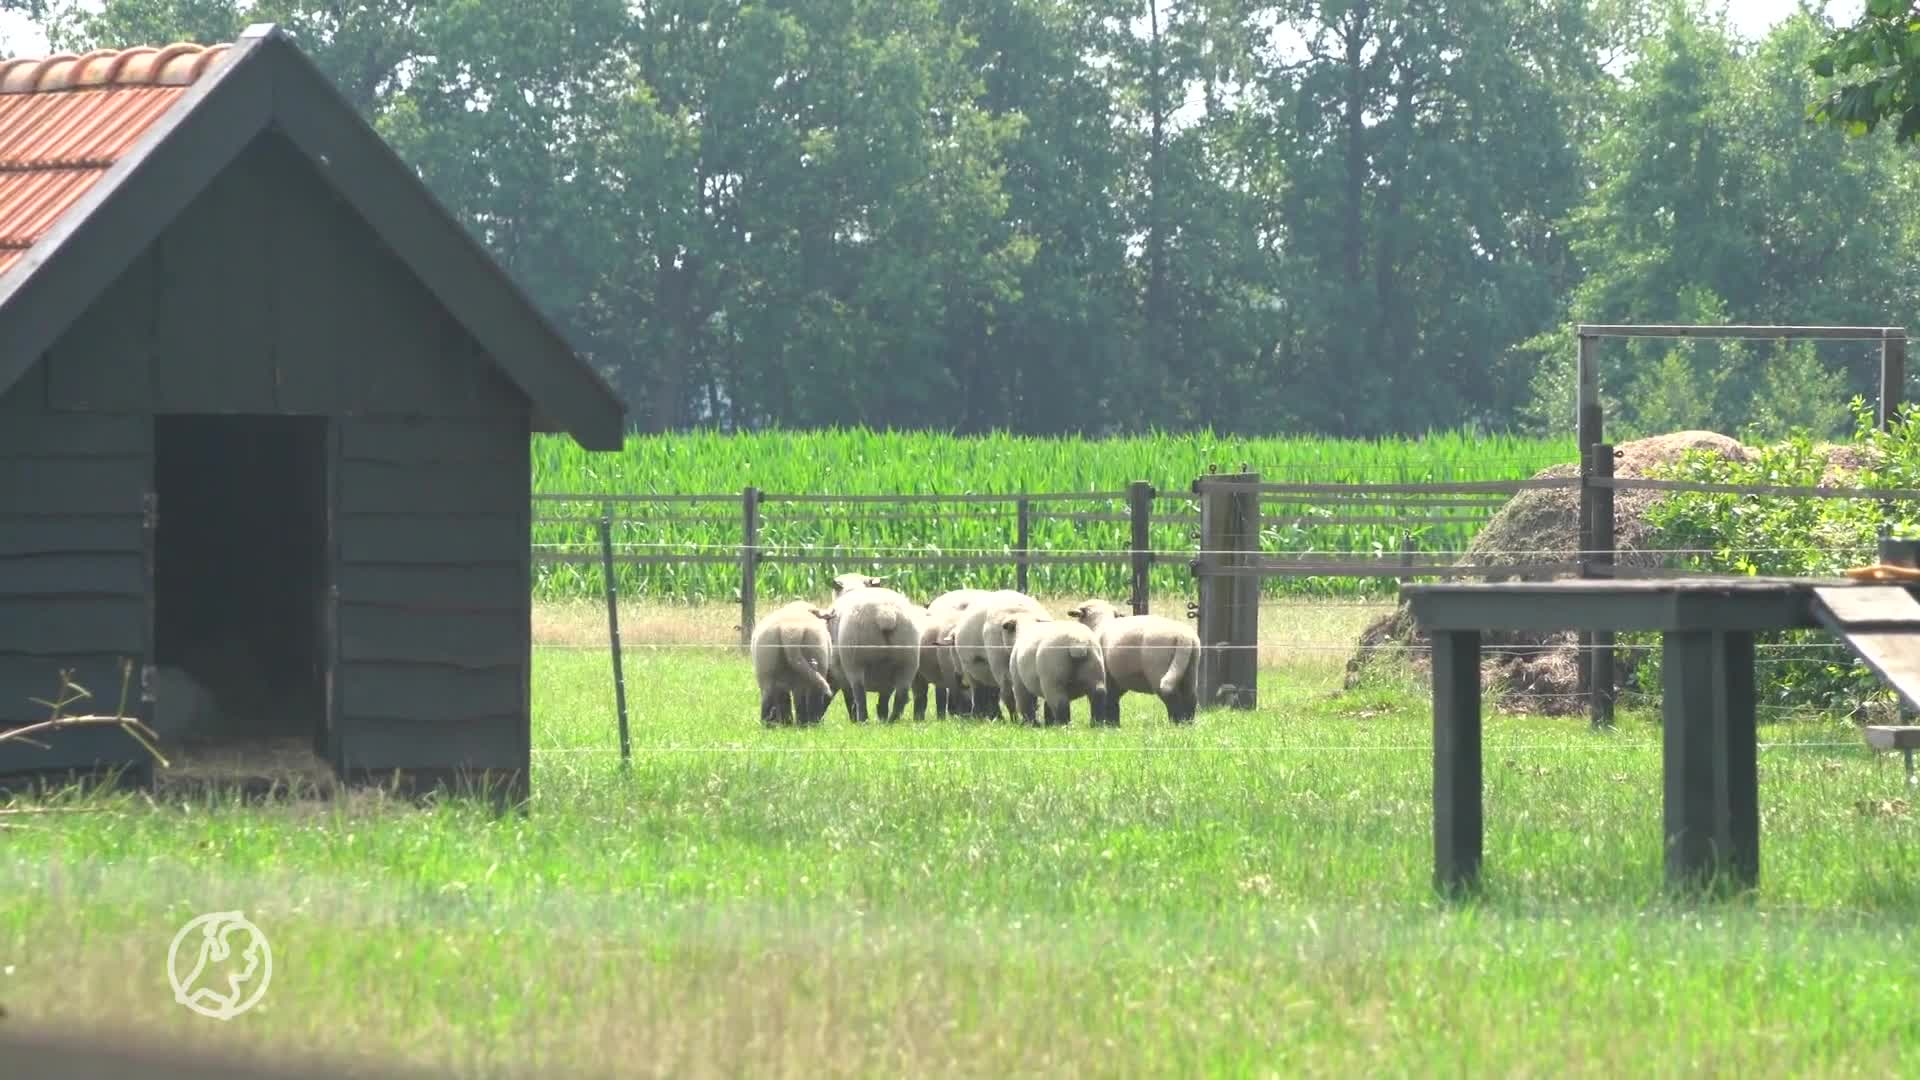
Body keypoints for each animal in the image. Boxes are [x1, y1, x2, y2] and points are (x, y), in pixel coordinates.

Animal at [821, 576, 917, 718]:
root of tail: (885, 613)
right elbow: (884, 697)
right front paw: (882, 715)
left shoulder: (840, 672)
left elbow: (849, 697)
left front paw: (853, 717)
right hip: (908, 661)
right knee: (901, 694)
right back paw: (891, 719)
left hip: (855, 661)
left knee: (859, 694)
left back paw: (862, 719)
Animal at [948, 584, 1052, 718]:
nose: (957, 678)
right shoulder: (999, 668)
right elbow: (1007, 696)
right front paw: (1014, 719)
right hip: (976, 671)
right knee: (981, 694)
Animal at [1067, 595, 1198, 722]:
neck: (1098, 624)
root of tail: (1183, 636)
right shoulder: (1117, 680)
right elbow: (1113, 703)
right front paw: (1113, 724)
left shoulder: (1106, 677)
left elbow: (1108, 701)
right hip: (1189, 670)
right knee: (1190, 697)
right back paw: (1187, 724)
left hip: (1158, 670)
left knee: (1170, 695)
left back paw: (1176, 724)